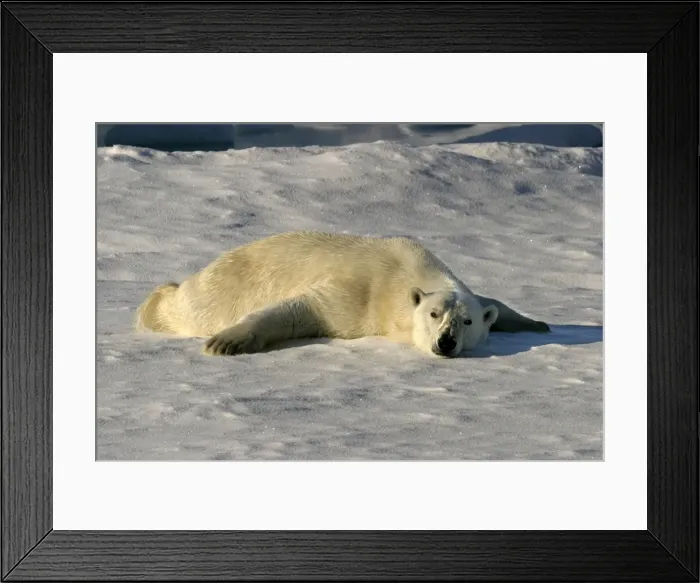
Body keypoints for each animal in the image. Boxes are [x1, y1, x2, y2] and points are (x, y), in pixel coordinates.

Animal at [135, 231, 550, 357]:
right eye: (433, 314)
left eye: (466, 321)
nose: (446, 342)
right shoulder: (359, 293)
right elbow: (299, 309)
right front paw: (226, 342)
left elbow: (494, 302)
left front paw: (539, 323)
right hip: (217, 289)